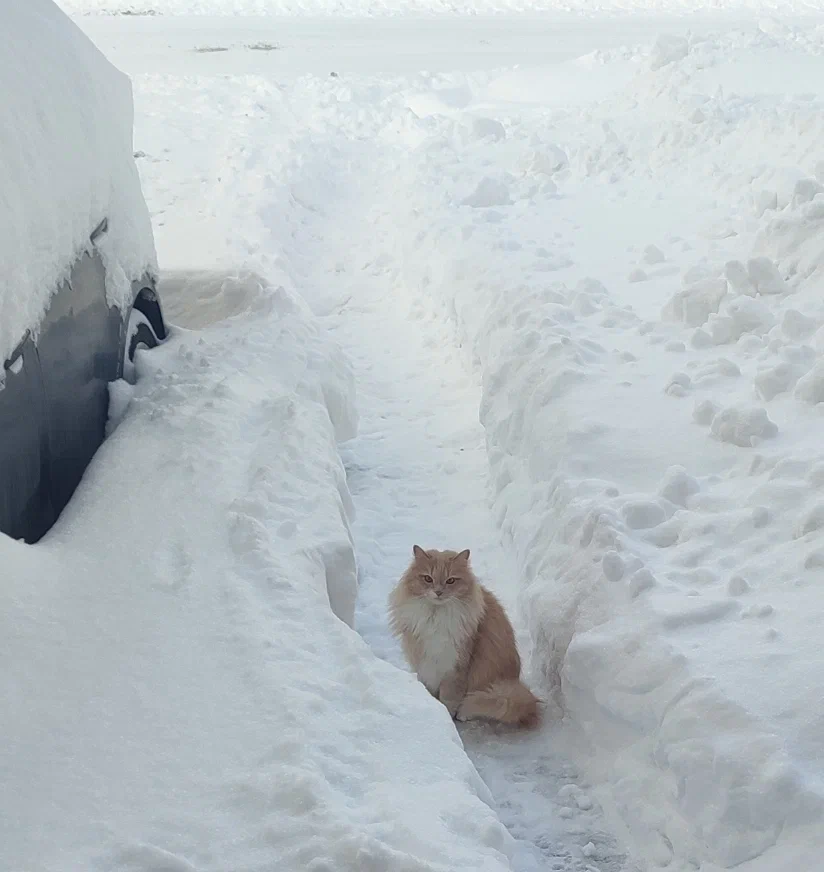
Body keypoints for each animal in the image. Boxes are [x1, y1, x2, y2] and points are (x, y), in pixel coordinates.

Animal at [392, 544, 544, 728]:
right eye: (428, 579)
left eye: (451, 580)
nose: (438, 592)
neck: (435, 616)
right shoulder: (424, 663)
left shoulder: (455, 667)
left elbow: (449, 700)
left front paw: (447, 717)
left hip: (499, 693)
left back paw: (464, 714)